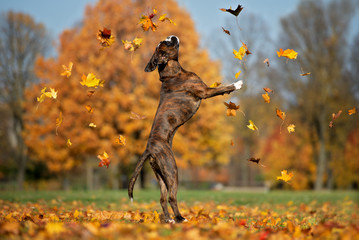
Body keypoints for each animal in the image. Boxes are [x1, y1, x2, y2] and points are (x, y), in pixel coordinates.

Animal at [128, 34, 243, 223]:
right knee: (171, 197)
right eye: (166, 43)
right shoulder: (205, 91)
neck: (172, 72)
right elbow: (222, 88)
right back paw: (181, 218)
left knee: (162, 198)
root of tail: (149, 149)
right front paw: (237, 84)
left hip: (161, 175)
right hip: (172, 171)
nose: (171, 35)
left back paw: (169, 220)